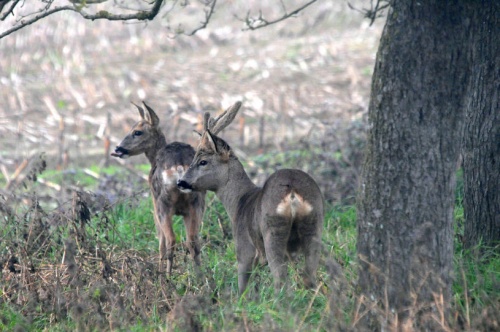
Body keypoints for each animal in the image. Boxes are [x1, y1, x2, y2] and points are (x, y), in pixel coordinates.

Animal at [110, 102, 204, 274]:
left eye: (137, 131)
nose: (118, 148)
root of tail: (179, 167)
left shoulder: (154, 204)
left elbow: (160, 241)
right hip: (197, 203)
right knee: (193, 241)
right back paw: (201, 278)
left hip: (163, 204)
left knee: (170, 240)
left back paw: (166, 277)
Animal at [179, 105, 324, 294]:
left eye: (203, 161)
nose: (180, 182)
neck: (239, 202)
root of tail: (292, 193)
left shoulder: (244, 248)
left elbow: (242, 286)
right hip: (314, 226)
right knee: (310, 277)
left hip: (273, 232)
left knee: (280, 280)